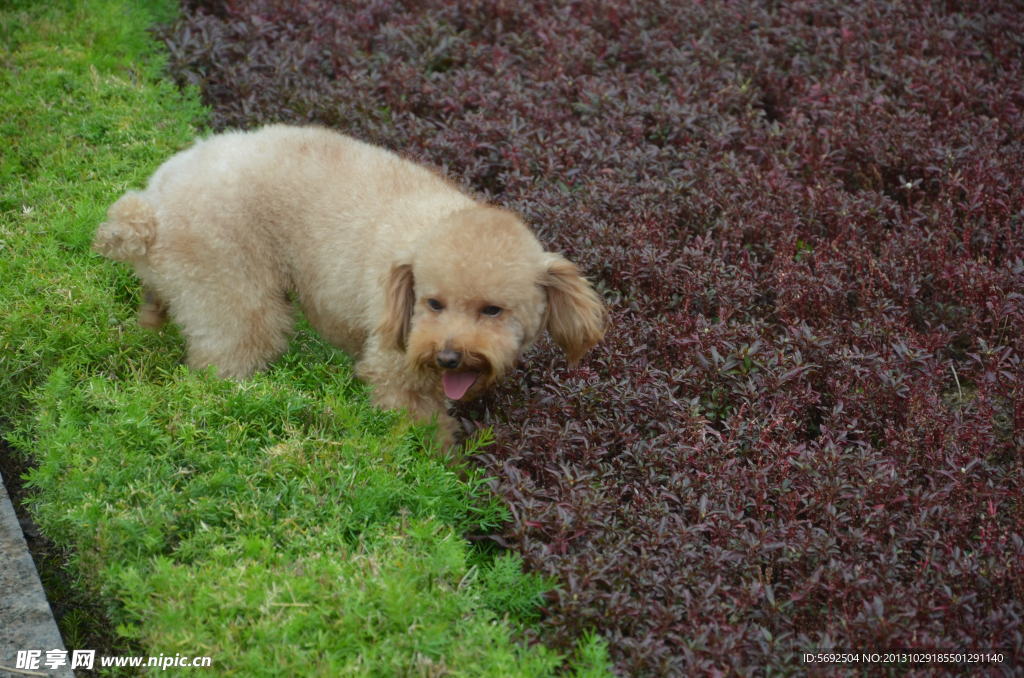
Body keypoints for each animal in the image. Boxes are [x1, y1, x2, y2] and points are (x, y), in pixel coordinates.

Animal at [92, 125, 602, 448]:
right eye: (433, 303)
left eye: (492, 310)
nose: (449, 357)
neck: (431, 228)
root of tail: (150, 209)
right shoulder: (396, 370)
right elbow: (422, 434)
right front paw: (438, 474)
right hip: (232, 288)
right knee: (227, 356)